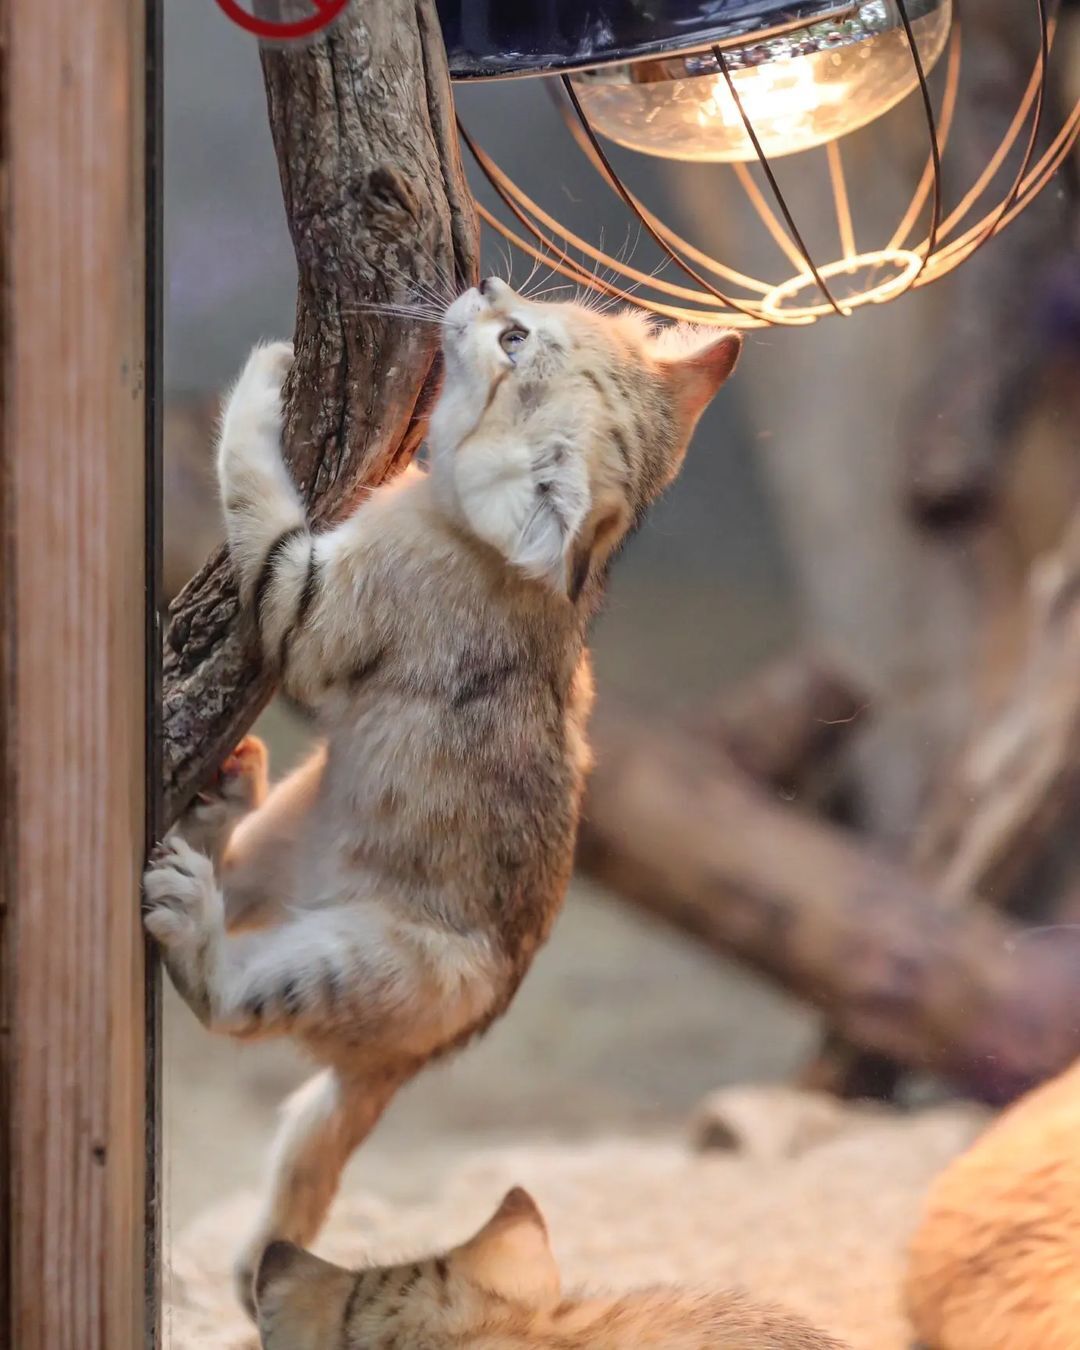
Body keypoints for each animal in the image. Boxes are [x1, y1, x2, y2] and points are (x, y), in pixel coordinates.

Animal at [143, 282, 745, 1306]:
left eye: (514, 341)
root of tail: (407, 1066)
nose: (486, 289)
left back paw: (192, 925)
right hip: (297, 831)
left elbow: (259, 503)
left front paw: (261, 385)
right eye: (540, 307)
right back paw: (224, 797)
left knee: (232, 1001)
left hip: (377, 960)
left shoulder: (310, 600)